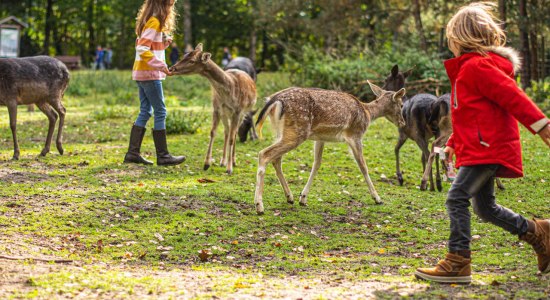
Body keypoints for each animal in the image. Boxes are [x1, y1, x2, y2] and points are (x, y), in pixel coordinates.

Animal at [253, 82, 406, 216]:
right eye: (402, 104)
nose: (402, 123)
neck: (367, 113)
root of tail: (274, 100)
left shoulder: (320, 138)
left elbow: (316, 164)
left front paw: (303, 198)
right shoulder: (355, 135)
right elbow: (363, 167)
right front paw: (377, 198)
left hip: (281, 131)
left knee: (276, 159)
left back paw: (289, 197)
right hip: (297, 131)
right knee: (264, 154)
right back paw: (259, 206)